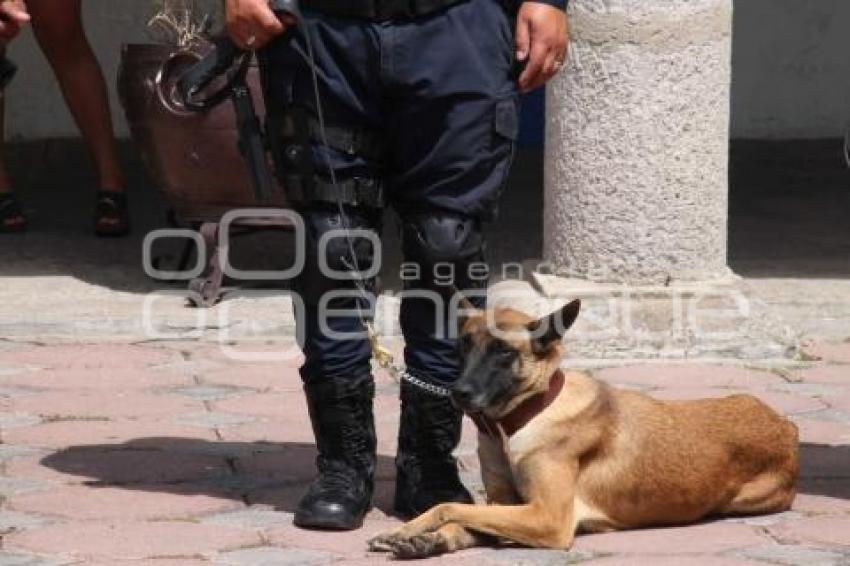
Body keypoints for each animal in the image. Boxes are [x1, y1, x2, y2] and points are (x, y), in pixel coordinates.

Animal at [368, 302, 800, 560]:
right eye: (463, 346)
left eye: (504, 352)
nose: (459, 393)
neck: (525, 416)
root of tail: (786, 425)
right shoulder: (505, 505)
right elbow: (464, 518)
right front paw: (426, 538)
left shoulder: (547, 518)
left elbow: (448, 506)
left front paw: (413, 527)